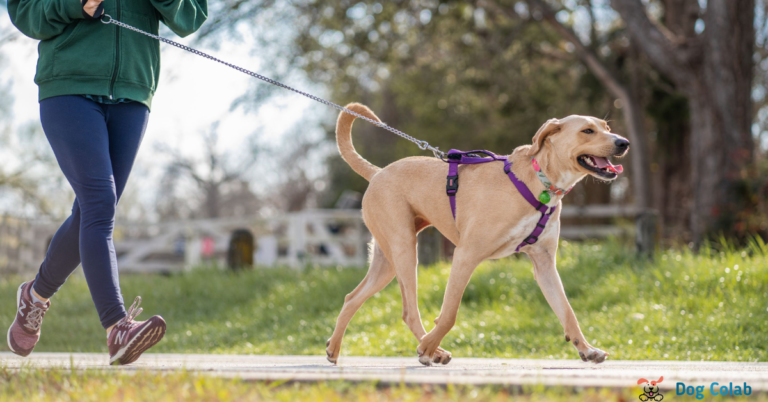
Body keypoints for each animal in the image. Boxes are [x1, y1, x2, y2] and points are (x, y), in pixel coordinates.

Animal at [324, 103, 632, 364]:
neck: (541, 182)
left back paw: (334, 348)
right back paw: (432, 350)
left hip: (386, 261)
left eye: (606, 126)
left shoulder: (545, 265)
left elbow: (567, 311)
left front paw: (587, 349)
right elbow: (449, 314)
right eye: (587, 130)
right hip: (404, 250)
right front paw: (428, 347)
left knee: (352, 297)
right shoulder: (465, 255)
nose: (623, 143)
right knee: (409, 310)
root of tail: (377, 173)